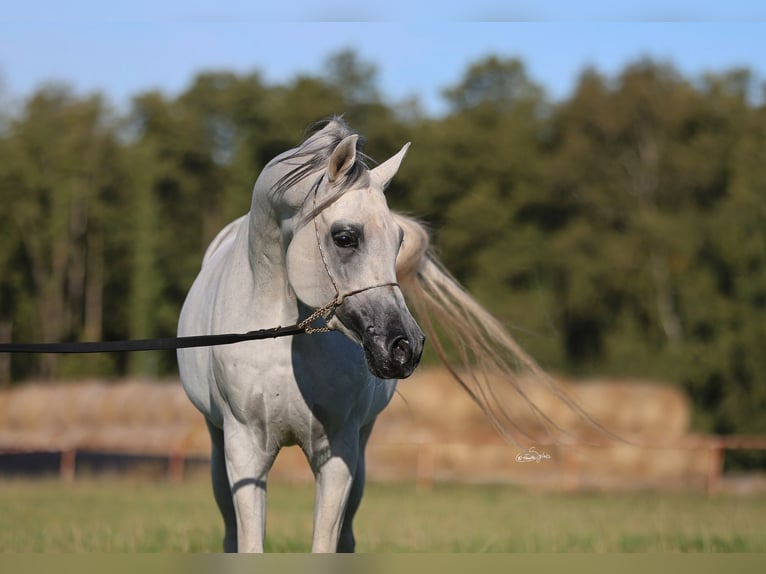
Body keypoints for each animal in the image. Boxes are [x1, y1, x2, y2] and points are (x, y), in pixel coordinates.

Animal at [177, 117, 594, 553]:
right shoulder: (245, 450)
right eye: (345, 237)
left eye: (399, 240)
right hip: (218, 444)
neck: (281, 339)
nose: (405, 347)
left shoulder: (340, 451)